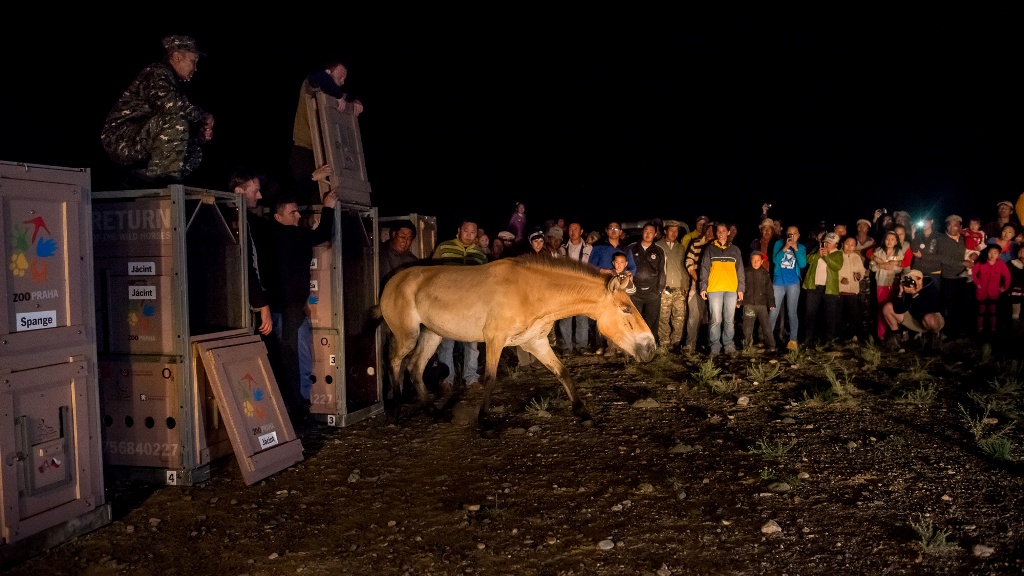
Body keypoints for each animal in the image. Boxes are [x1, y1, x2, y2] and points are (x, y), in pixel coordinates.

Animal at [376, 254, 655, 426]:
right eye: (626, 310)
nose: (650, 347)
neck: (531, 292)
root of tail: (392, 281)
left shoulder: (536, 343)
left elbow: (563, 372)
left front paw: (582, 412)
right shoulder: (495, 340)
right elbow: (490, 379)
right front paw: (484, 421)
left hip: (431, 334)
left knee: (415, 368)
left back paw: (433, 412)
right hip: (407, 335)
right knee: (394, 362)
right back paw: (396, 410)